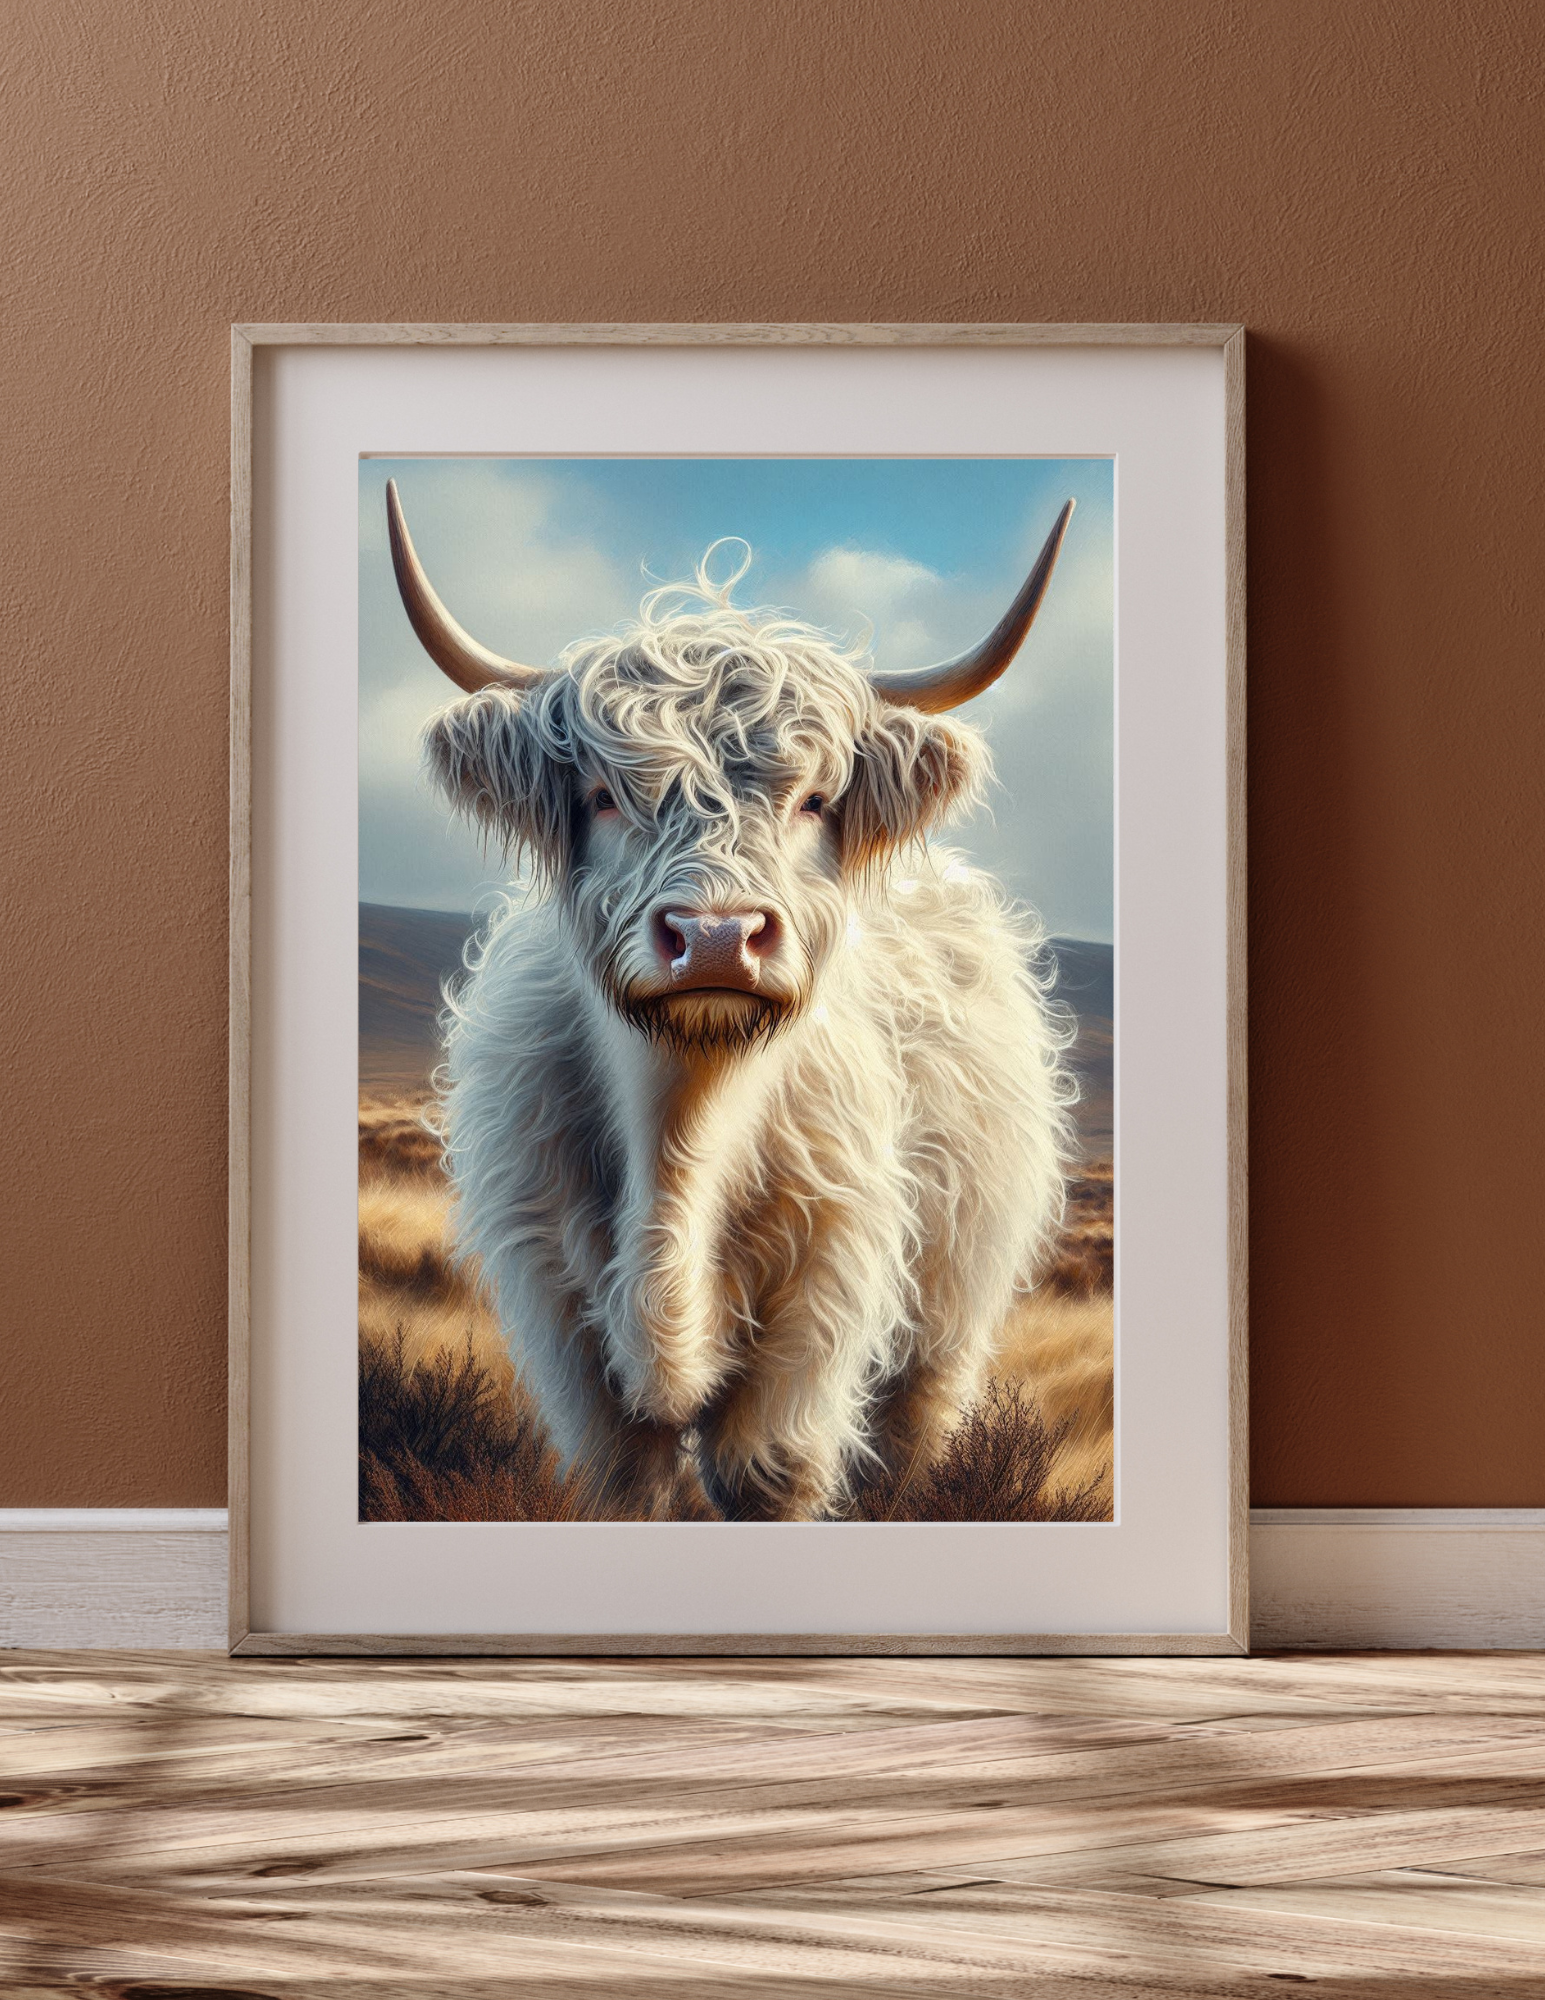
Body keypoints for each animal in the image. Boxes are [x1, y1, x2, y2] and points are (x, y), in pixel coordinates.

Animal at [384, 480, 1078, 1520]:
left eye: (815, 800)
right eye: (603, 795)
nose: (715, 936)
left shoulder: (823, 1297)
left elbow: (766, 1472)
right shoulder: (561, 1315)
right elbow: (626, 1480)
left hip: (949, 1316)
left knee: (910, 1437)